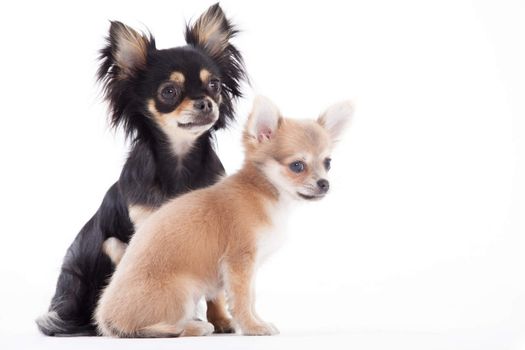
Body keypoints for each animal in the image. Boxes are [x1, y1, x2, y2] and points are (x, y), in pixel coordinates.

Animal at [36, 3, 246, 336]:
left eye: (214, 85)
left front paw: (222, 321)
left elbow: (215, 288)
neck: (179, 162)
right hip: (108, 249)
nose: (205, 102)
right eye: (169, 92)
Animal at [94, 95, 352, 336]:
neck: (264, 193)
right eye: (297, 166)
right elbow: (241, 300)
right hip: (184, 291)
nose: (324, 184)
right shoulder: (239, 262)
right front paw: (252, 327)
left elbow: (251, 297)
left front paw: (258, 321)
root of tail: (106, 319)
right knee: (153, 327)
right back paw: (194, 327)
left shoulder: (250, 267)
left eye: (328, 163)